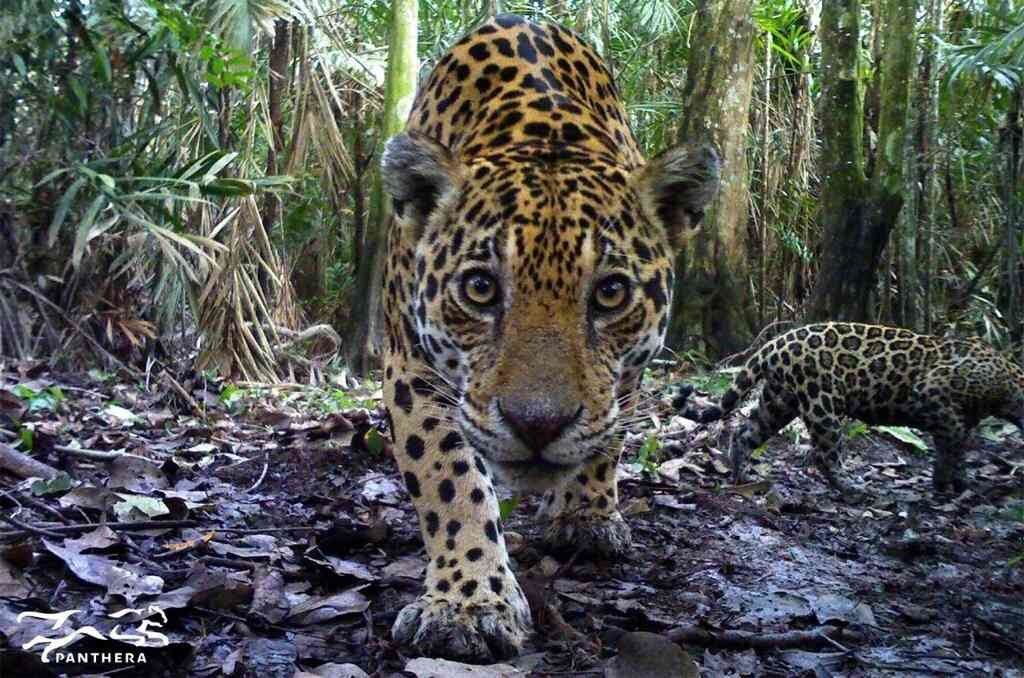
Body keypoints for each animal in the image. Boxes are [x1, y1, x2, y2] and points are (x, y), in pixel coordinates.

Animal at [378, 14, 719, 661]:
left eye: (610, 293)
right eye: (480, 288)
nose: (537, 425)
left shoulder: (625, 374)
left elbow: (609, 433)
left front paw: (586, 516)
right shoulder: (413, 369)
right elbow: (449, 481)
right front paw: (467, 603)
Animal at [674, 322, 1024, 496]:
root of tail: (775, 342)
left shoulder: (962, 418)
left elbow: (959, 446)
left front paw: (959, 483)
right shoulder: (932, 395)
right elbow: (952, 443)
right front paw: (946, 484)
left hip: (779, 401)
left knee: (747, 433)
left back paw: (741, 474)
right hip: (821, 405)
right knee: (827, 453)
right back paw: (851, 487)